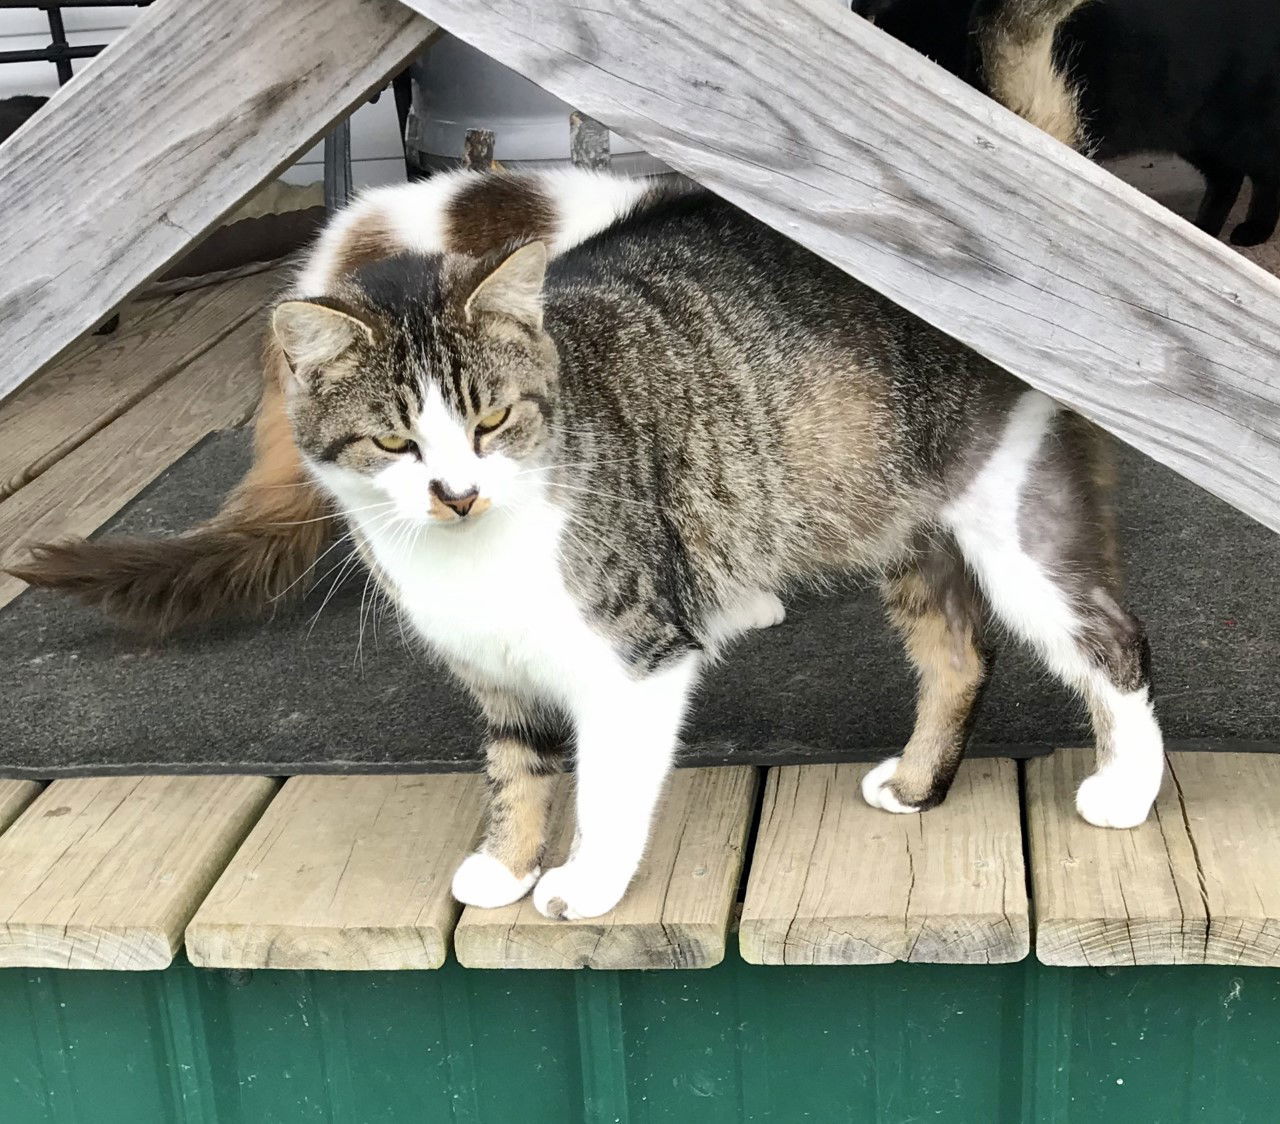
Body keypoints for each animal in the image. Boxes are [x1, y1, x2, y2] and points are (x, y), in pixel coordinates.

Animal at [12, 171, 1172, 921]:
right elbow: (515, 770)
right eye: (394, 439)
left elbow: (609, 782)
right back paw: (922, 780)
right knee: (958, 653)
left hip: (1012, 525)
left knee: (1112, 640)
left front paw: (584, 881)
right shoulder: (490, 669)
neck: (475, 556)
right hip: (891, 523)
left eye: (490, 419)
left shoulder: (636, 655)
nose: (456, 492)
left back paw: (1125, 789)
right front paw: (507, 863)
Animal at [849, 0, 1280, 245]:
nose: (857, 12)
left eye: (877, 13)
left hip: (1240, 131)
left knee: (1265, 177)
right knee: (1227, 179)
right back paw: (1206, 229)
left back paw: (1253, 231)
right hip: (1190, 132)